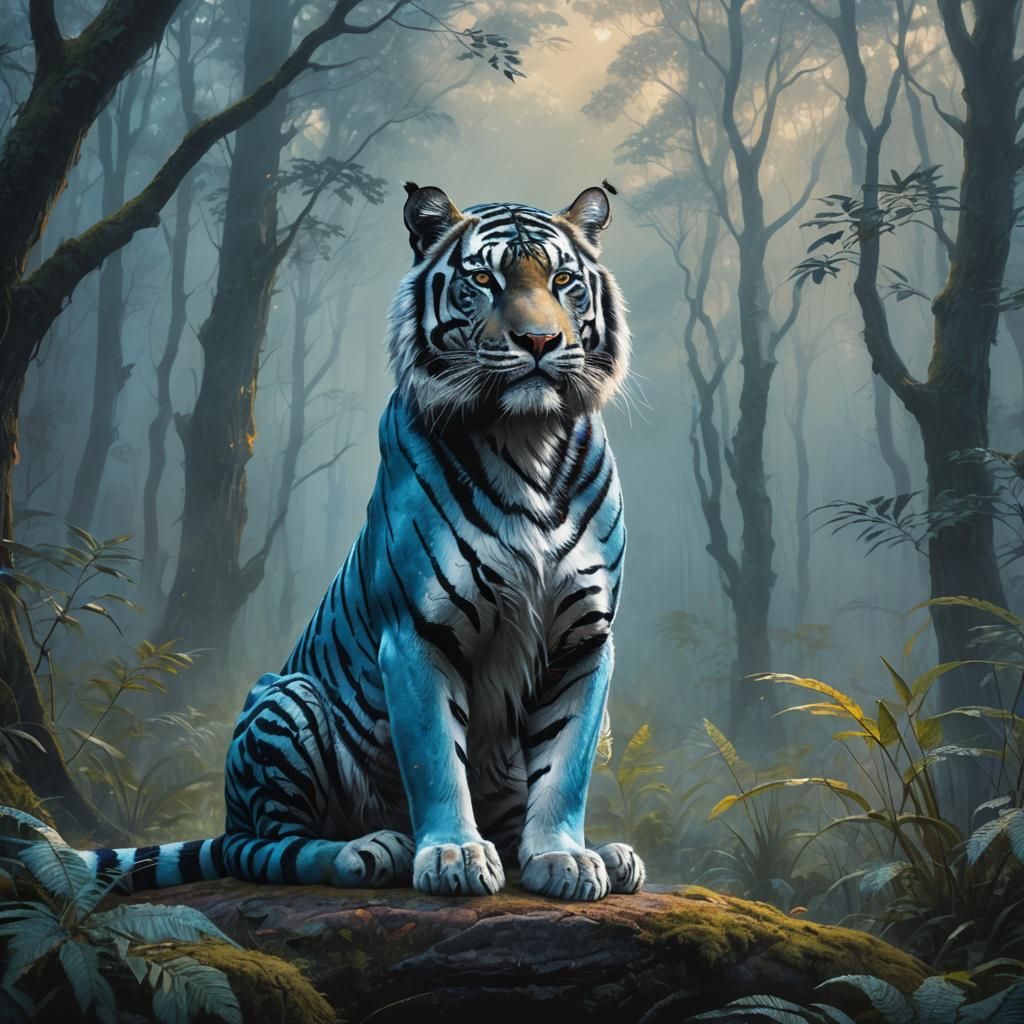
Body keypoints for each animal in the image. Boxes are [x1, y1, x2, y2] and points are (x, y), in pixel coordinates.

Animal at [77, 184, 643, 901]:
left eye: (564, 281)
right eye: (483, 280)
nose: (540, 340)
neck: (527, 440)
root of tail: (228, 814)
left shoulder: (584, 637)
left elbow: (566, 765)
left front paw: (563, 858)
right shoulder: (419, 632)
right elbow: (435, 758)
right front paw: (454, 855)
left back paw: (608, 856)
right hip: (285, 699)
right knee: (266, 848)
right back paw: (371, 849)